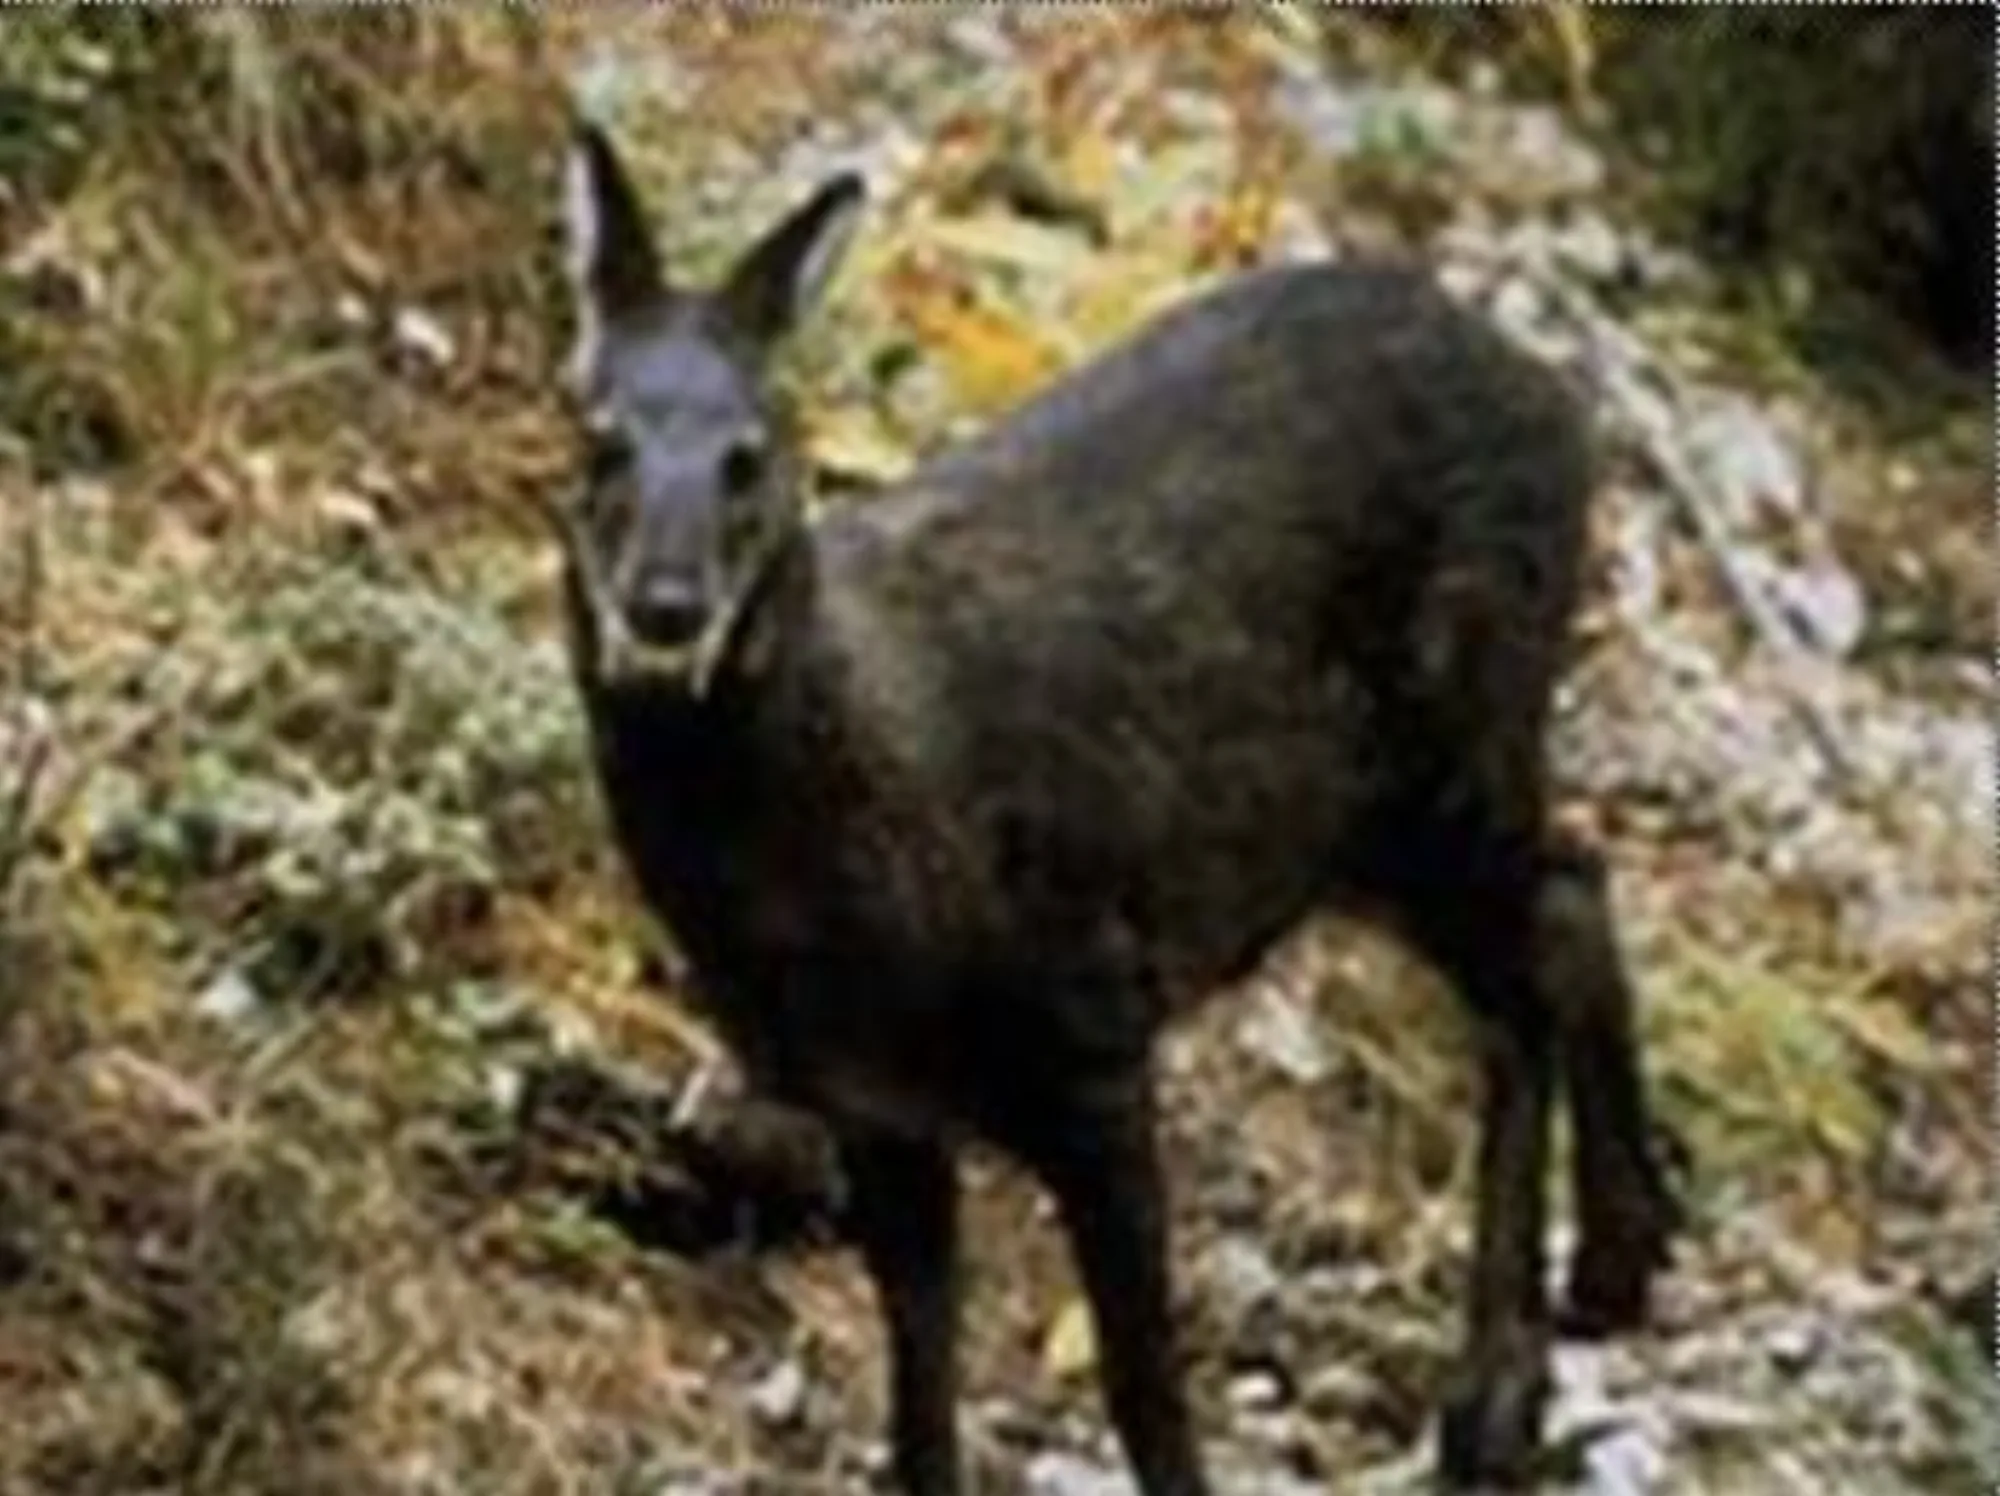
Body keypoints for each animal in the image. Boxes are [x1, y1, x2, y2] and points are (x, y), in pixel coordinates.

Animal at [549, 120, 1681, 1495]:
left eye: (750, 456)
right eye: (598, 438)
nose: (665, 606)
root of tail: (1559, 404)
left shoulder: (1090, 1026)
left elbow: (1143, 1389)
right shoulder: (873, 1107)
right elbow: (918, 1392)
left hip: (1456, 741)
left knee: (1554, 913)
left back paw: (1570, 1309)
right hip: (1355, 830)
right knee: (1539, 939)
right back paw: (1546, 1340)